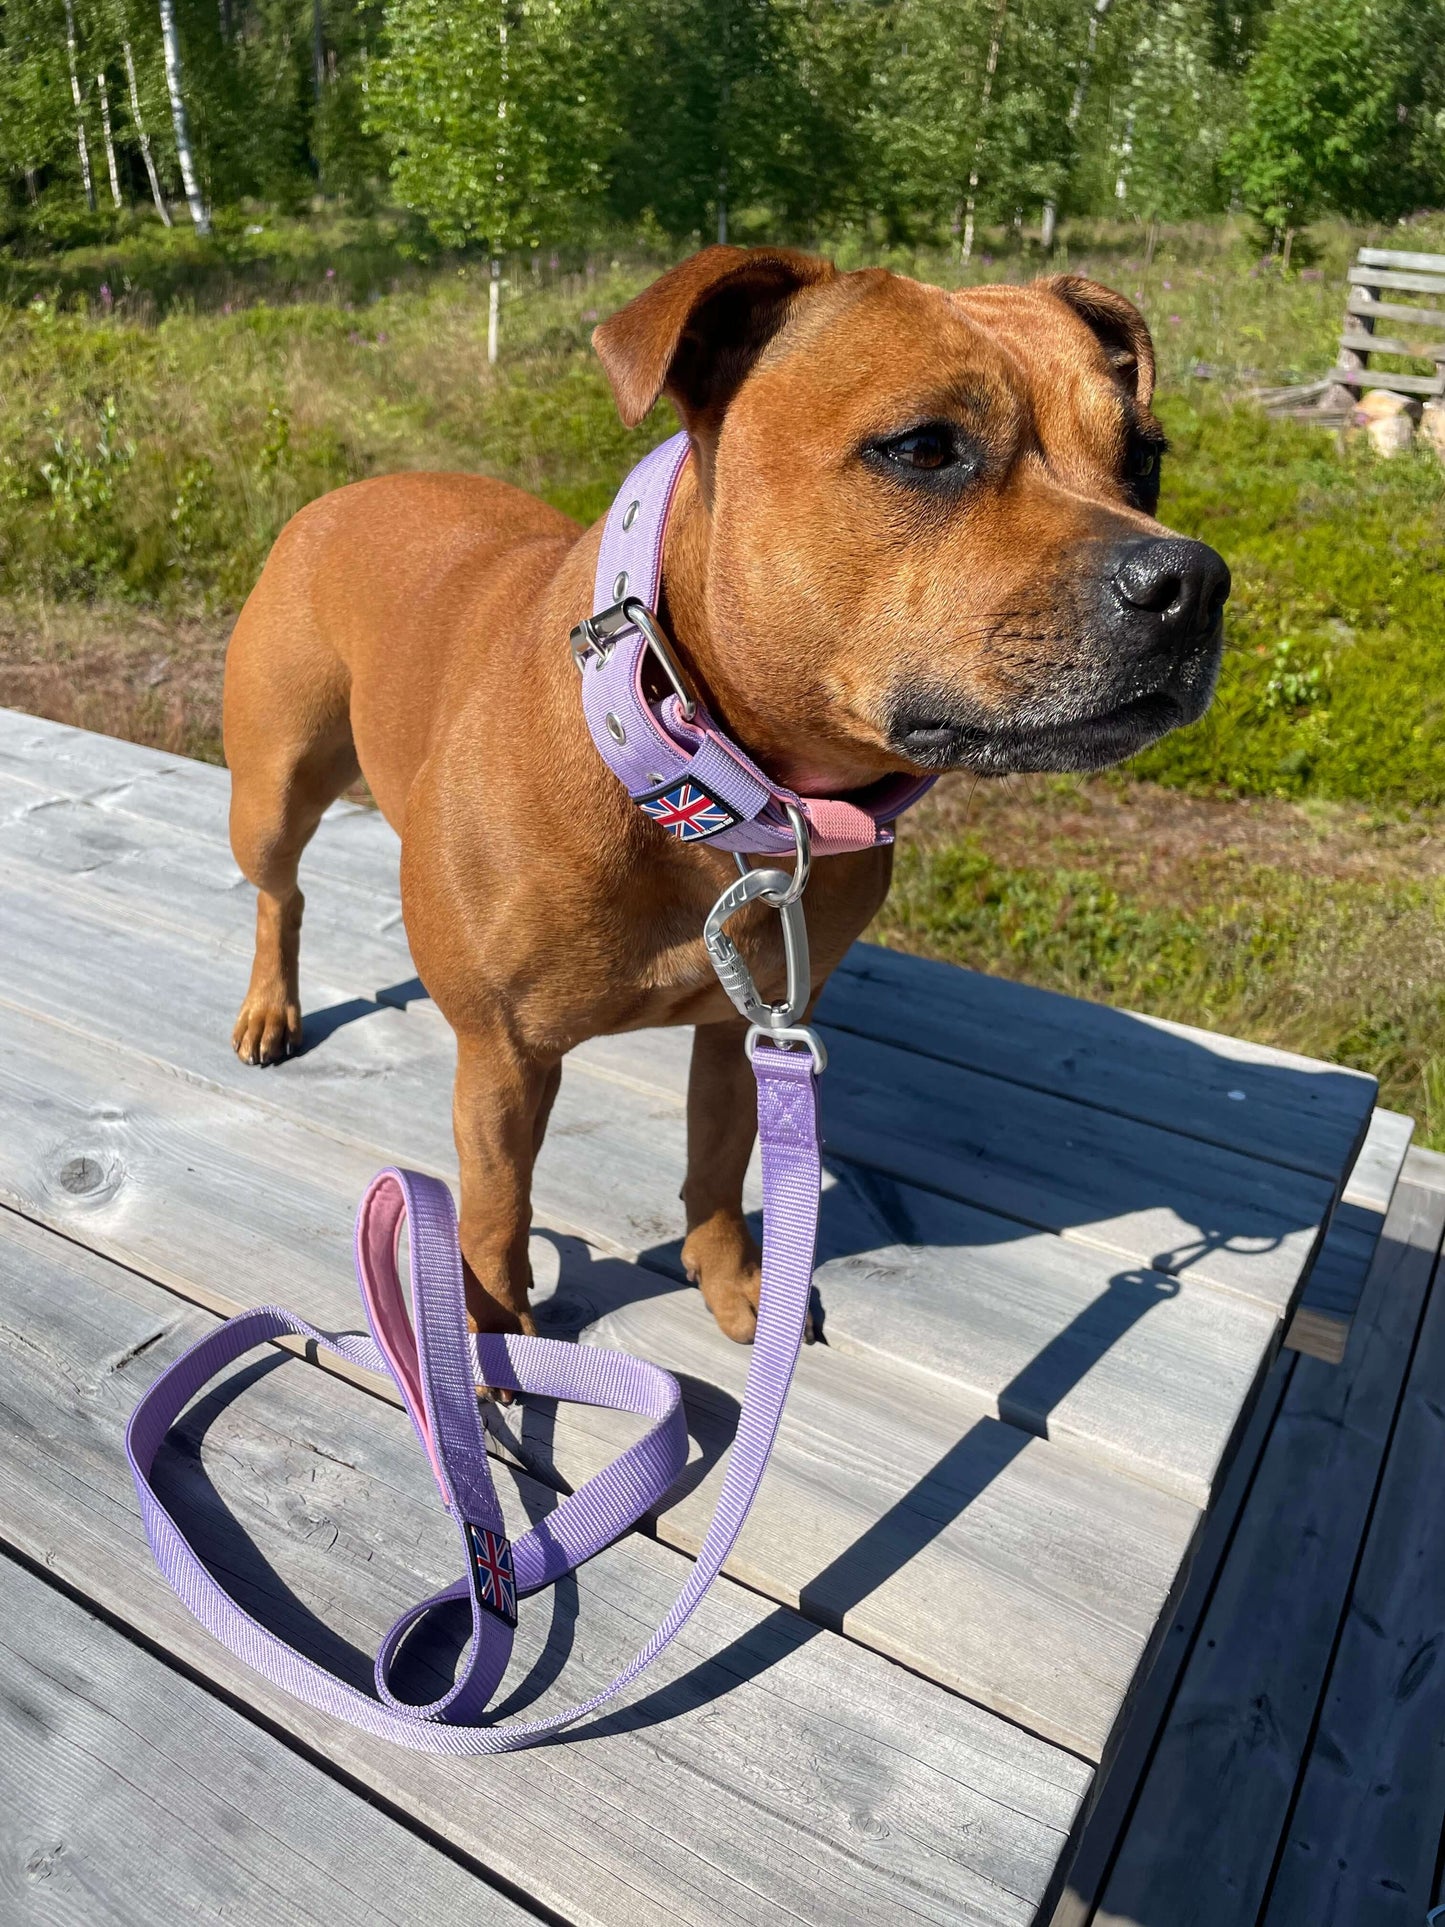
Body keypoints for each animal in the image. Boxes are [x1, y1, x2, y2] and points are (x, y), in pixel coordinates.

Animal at [226, 248, 1233, 1348]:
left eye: (1145, 457)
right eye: (923, 448)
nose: (1191, 580)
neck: (711, 785)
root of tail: (348, 491)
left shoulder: (751, 1029)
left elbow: (718, 1164)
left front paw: (738, 1283)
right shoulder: (503, 1059)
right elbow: (496, 1211)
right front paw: (491, 1339)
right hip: (273, 788)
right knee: (281, 892)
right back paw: (270, 1007)